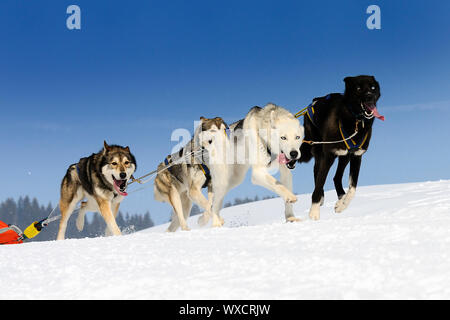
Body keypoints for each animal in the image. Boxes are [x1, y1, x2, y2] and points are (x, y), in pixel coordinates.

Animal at [294, 75, 384, 220]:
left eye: (373, 87)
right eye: (358, 88)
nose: (370, 96)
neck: (356, 120)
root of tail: (313, 102)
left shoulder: (357, 155)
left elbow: (353, 188)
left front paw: (342, 205)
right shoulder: (329, 155)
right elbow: (319, 183)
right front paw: (314, 212)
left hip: (344, 156)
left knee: (336, 177)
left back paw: (341, 197)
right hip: (320, 150)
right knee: (317, 172)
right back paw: (322, 198)